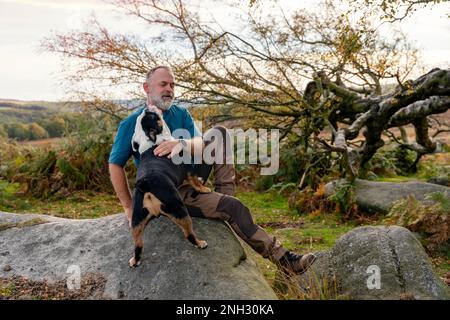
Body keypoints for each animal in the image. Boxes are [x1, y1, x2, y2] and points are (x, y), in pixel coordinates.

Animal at [127, 105, 210, 268]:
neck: (151, 144)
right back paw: (200, 243)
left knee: (138, 244)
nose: (147, 107)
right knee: (188, 233)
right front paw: (203, 188)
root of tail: (145, 183)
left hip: (136, 220)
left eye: (144, 116)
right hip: (179, 209)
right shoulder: (188, 169)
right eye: (151, 116)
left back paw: (135, 260)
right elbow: (195, 181)